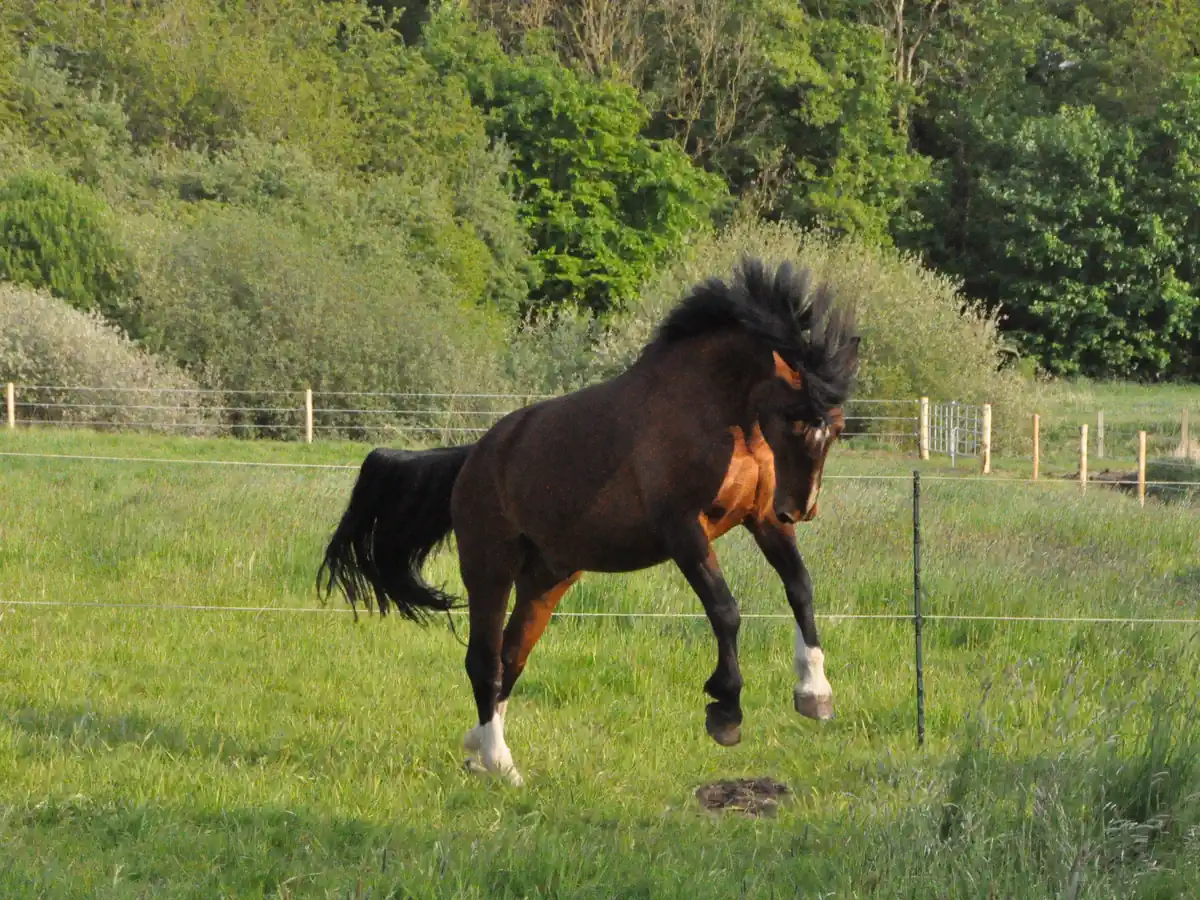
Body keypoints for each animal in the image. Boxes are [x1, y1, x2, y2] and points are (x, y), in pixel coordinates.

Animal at [317, 256, 860, 786]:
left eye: (835, 428)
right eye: (793, 417)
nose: (801, 508)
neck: (715, 413)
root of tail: (474, 457)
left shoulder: (762, 518)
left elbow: (800, 587)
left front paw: (815, 692)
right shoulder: (684, 530)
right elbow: (725, 610)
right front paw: (725, 710)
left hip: (547, 580)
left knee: (510, 657)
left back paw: (482, 754)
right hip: (489, 569)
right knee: (484, 662)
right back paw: (499, 763)